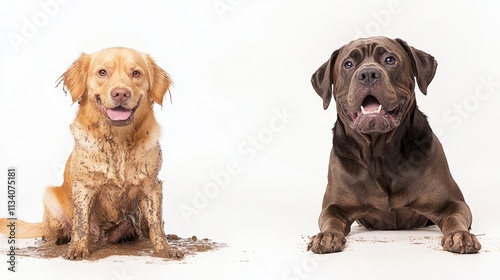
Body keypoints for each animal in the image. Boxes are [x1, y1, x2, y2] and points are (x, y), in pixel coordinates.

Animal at [0, 47, 184, 260]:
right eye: (102, 72)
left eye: (136, 73)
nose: (121, 93)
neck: (119, 141)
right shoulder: (83, 186)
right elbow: (81, 223)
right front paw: (78, 249)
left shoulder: (152, 186)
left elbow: (156, 222)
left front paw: (164, 248)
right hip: (50, 199)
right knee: (52, 232)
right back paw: (61, 239)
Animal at [306, 36, 482, 254]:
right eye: (348, 64)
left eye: (390, 60)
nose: (368, 74)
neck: (379, 154)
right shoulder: (334, 207)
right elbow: (331, 219)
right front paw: (326, 236)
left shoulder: (453, 203)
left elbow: (455, 217)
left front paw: (460, 235)